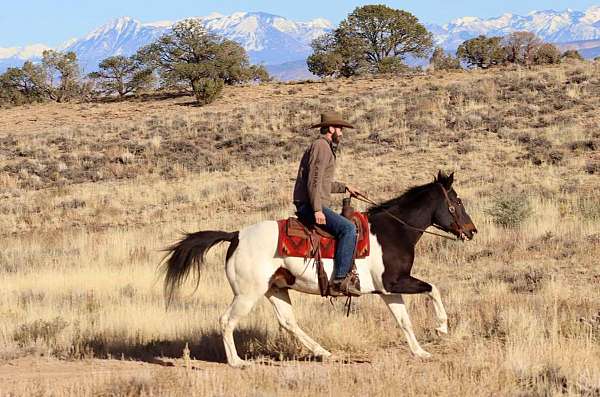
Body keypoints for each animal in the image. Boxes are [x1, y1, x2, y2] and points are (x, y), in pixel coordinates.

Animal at [162, 170, 476, 366]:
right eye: (457, 201)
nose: (471, 231)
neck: (393, 230)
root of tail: (236, 235)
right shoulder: (397, 282)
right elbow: (433, 289)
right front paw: (442, 327)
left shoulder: (388, 289)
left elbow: (404, 321)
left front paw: (421, 353)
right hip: (247, 294)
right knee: (227, 321)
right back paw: (237, 362)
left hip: (275, 290)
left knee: (288, 322)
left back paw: (324, 353)